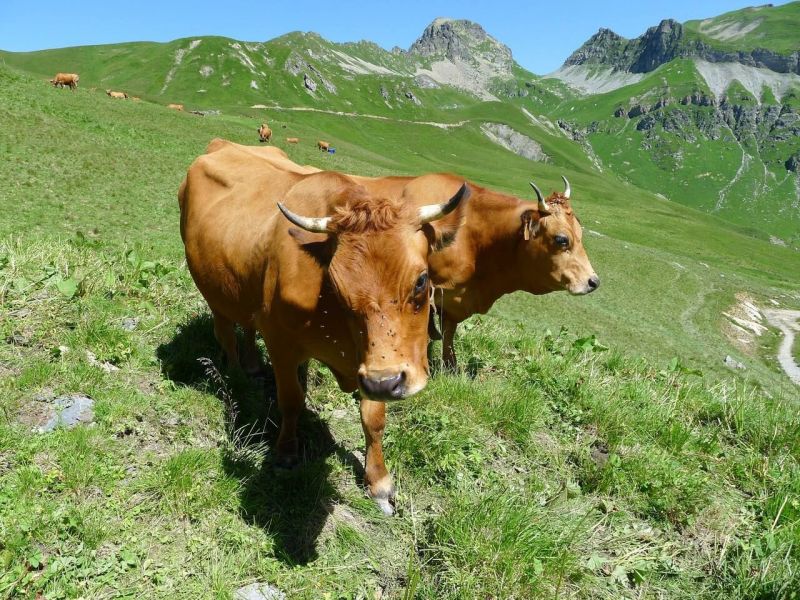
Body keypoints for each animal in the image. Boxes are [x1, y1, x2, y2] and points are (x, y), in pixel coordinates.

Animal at [180, 138, 468, 512]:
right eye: (335, 286)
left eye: (421, 280)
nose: (387, 382)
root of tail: (223, 144)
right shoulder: (282, 343)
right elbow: (291, 399)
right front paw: (286, 450)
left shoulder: (372, 365)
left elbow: (374, 417)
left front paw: (379, 481)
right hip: (213, 291)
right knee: (225, 330)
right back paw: (237, 372)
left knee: (247, 326)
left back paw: (254, 365)